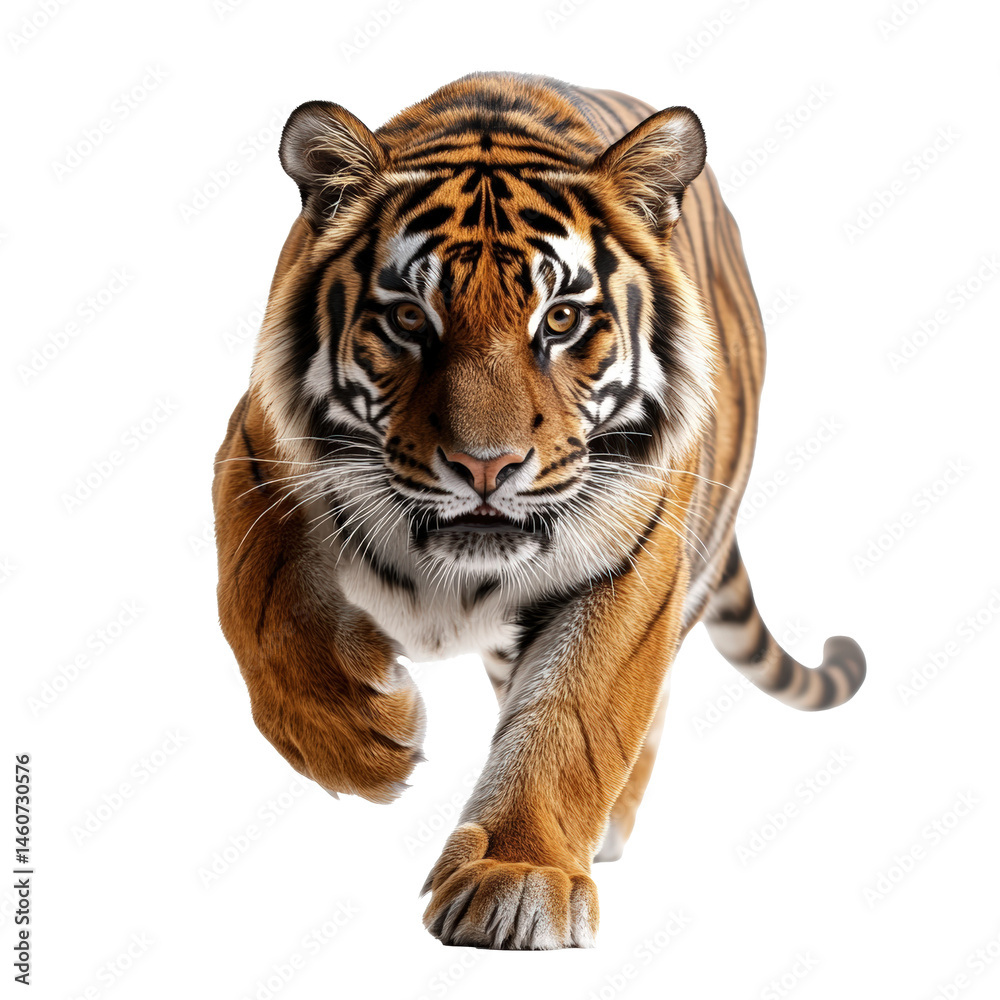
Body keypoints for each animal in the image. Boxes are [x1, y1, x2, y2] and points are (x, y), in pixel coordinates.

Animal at [212, 71, 866, 951]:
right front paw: (359, 739)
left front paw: (519, 875)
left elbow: (575, 716)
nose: (485, 466)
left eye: (559, 319)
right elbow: (258, 606)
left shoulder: (636, 552)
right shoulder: (254, 455)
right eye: (410, 318)